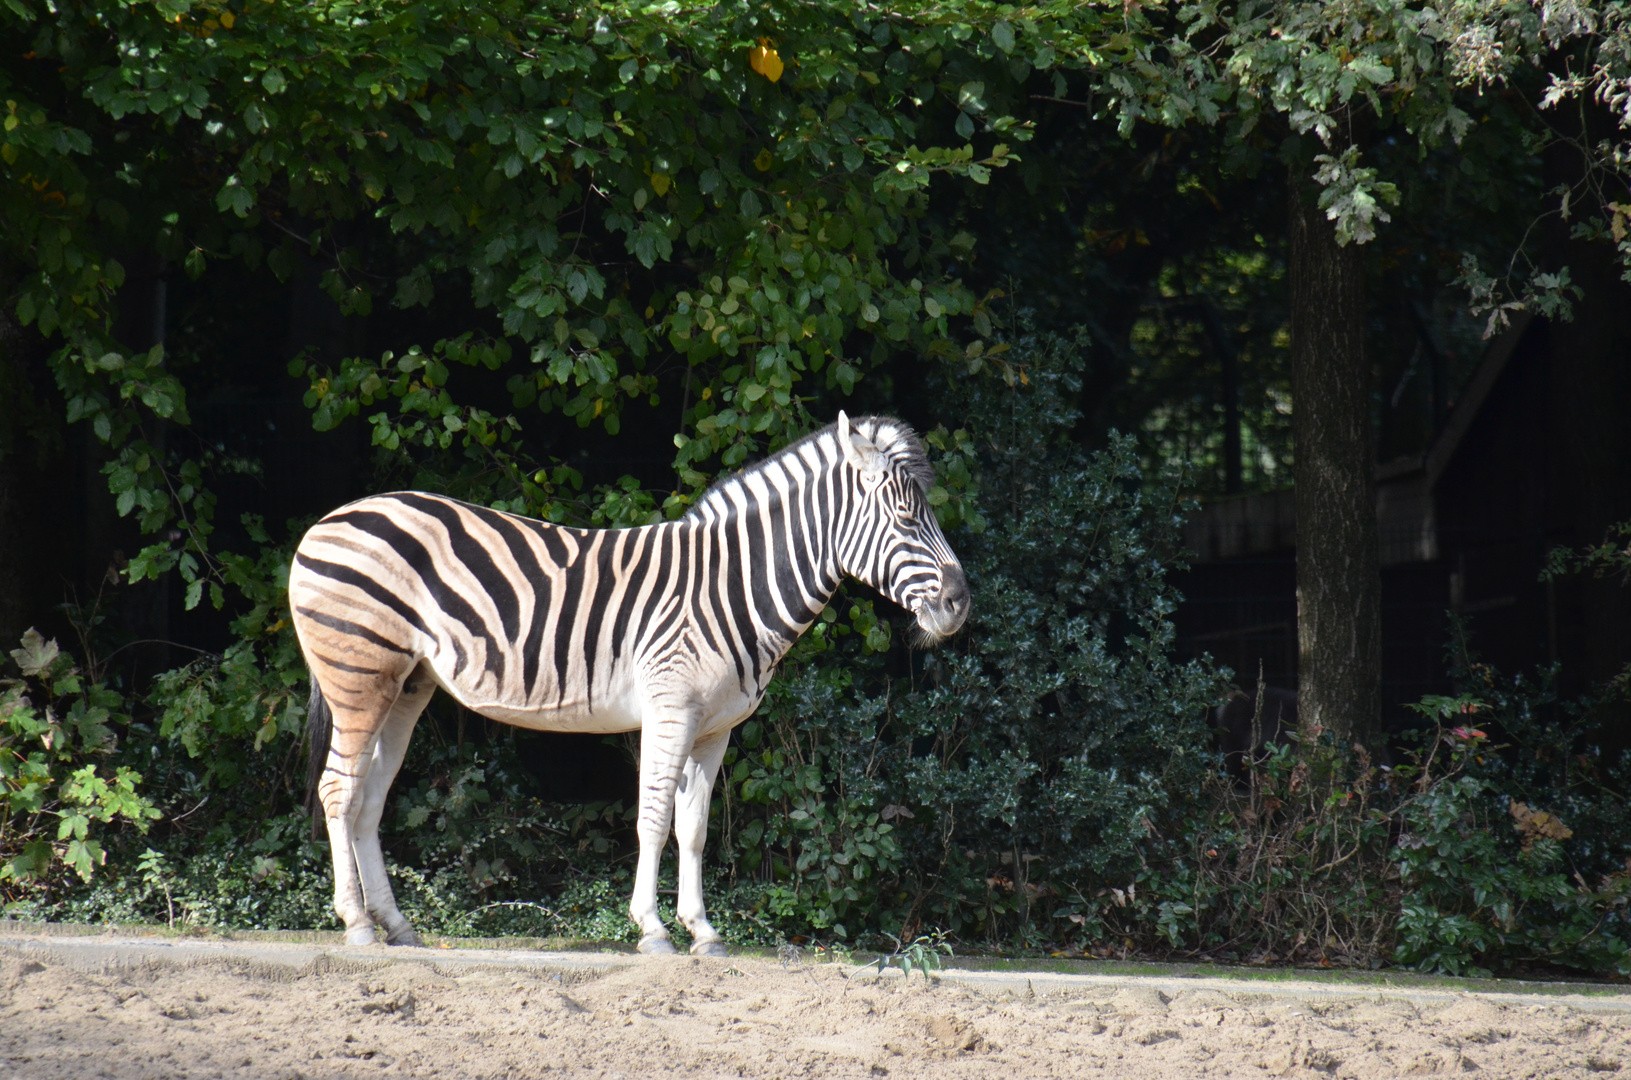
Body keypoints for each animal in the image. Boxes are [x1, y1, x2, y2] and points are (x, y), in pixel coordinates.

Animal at [291, 412, 965, 959]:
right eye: (906, 517)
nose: (961, 603)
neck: (731, 587)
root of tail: (330, 519)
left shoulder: (716, 728)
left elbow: (694, 827)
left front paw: (703, 932)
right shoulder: (671, 708)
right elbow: (654, 817)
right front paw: (654, 929)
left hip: (406, 685)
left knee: (369, 796)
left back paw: (396, 926)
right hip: (359, 674)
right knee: (337, 790)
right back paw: (357, 925)